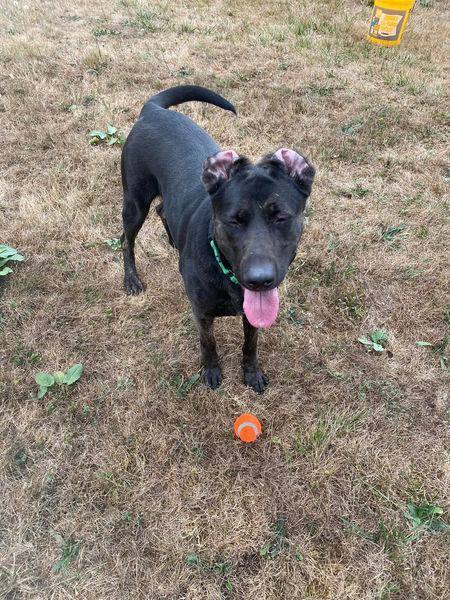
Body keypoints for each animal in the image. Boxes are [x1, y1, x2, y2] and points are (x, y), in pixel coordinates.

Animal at [121, 85, 314, 394]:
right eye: (233, 220)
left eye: (281, 218)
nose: (260, 280)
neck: (227, 274)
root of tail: (153, 110)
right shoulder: (201, 312)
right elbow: (208, 343)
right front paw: (211, 371)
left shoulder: (251, 313)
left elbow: (251, 343)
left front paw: (251, 373)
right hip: (135, 202)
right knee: (125, 239)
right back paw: (131, 279)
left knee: (163, 209)